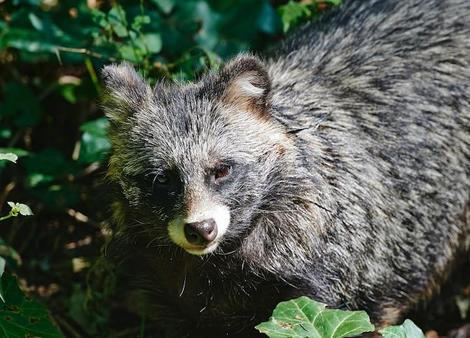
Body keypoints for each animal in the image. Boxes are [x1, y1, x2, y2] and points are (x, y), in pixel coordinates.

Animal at [101, 0, 468, 336]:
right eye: (162, 179)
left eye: (222, 170)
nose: (201, 229)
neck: (215, 265)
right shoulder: (172, 294)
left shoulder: (341, 280)